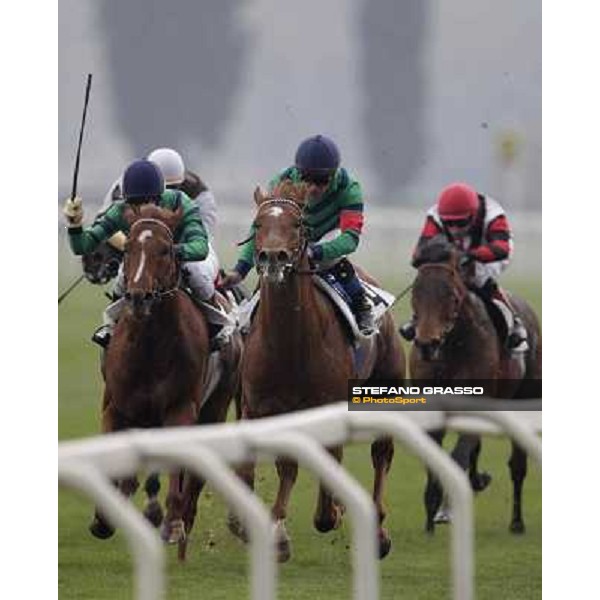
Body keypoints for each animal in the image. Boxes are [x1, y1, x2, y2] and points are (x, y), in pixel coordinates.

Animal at [88, 204, 241, 560]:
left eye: (165, 250)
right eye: (128, 249)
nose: (138, 297)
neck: (150, 347)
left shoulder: (180, 407)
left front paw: (172, 524)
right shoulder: (116, 406)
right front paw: (104, 518)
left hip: (215, 406)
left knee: (193, 477)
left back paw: (181, 521)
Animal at [227, 184, 406, 564]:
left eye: (297, 224)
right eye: (258, 223)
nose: (273, 257)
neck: (290, 346)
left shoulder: (328, 405)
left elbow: (326, 468)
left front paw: (330, 513)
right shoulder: (259, 406)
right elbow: (276, 466)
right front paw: (274, 534)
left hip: (386, 385)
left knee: (381, 452)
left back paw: (378, 530)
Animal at [410, 239, 540, 536]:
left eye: (452, 297)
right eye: (416, 292)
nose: (427, 344)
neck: (453, 346)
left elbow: (457, 457)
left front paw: (446, 510)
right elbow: (437, 458)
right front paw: (430, 518)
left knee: (517, 466)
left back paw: (516, 522)